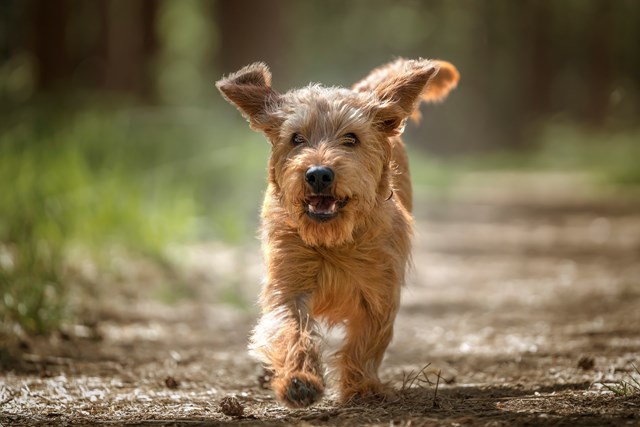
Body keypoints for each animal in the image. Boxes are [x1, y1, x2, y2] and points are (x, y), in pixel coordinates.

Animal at [218, 58, 458, 410]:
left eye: (351, 138)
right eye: (296, 138)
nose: (318, 174)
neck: (331, 240)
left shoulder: (379, 291)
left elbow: (367, 340)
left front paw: (361, 388)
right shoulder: (289, 284)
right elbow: (290, 330)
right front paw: (299, 380)